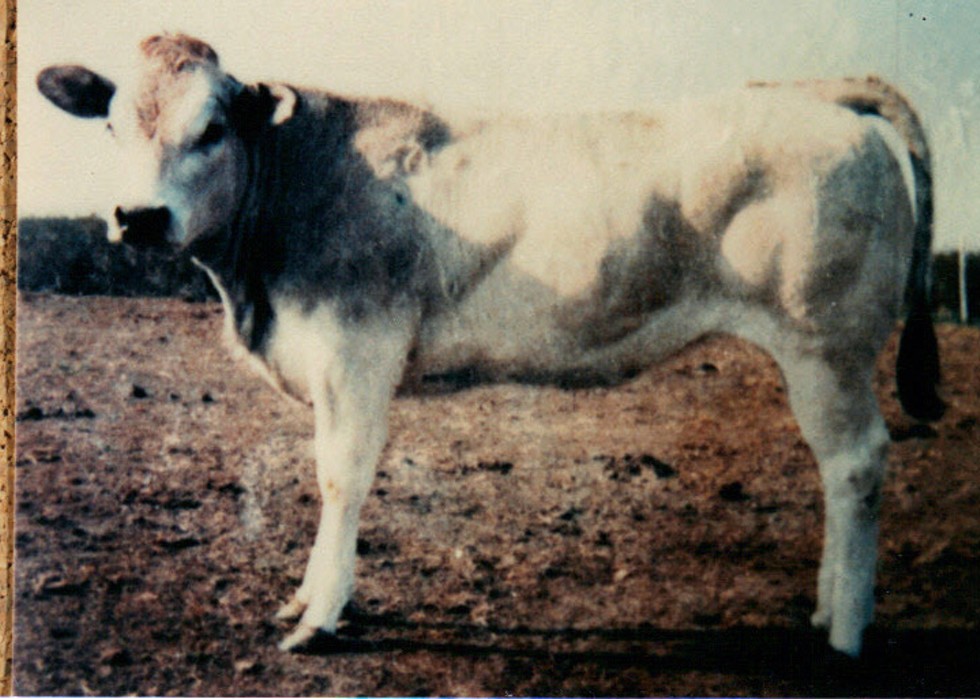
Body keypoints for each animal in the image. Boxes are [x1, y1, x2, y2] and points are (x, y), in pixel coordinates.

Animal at [36, 32, 940, 656]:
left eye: (214, 127)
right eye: (111, 126)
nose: (138, 216)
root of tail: (821, 96)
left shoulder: (356, 352)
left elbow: (340, 476)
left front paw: (319, 617)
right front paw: (309, 598)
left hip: (826, 342)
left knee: (856, 461)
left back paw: (846, 631)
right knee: (838, 468)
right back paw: (825, 608)